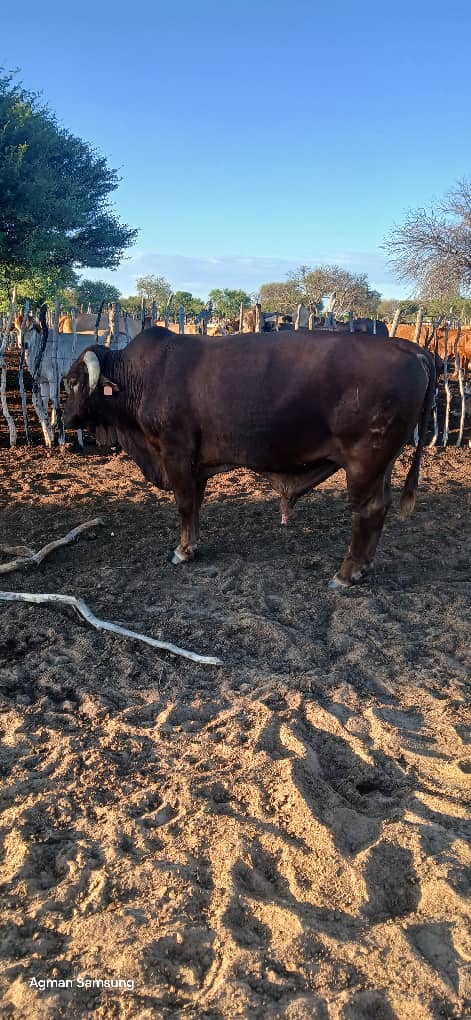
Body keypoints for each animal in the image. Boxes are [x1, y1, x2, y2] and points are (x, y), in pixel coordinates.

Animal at [63, 326, 437, 588]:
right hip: (384, 465)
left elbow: (184, 504)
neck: (143, 376)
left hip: (364, 464)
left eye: (73, 382)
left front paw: (182, 552)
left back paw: (345, 574)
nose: (64, 420)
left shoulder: (175, 453)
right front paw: (193, 545)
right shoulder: (196, 464)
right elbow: (195, 505)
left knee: (367, 512)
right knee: (382, 507)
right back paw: (364, 566)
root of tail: (410, 348)